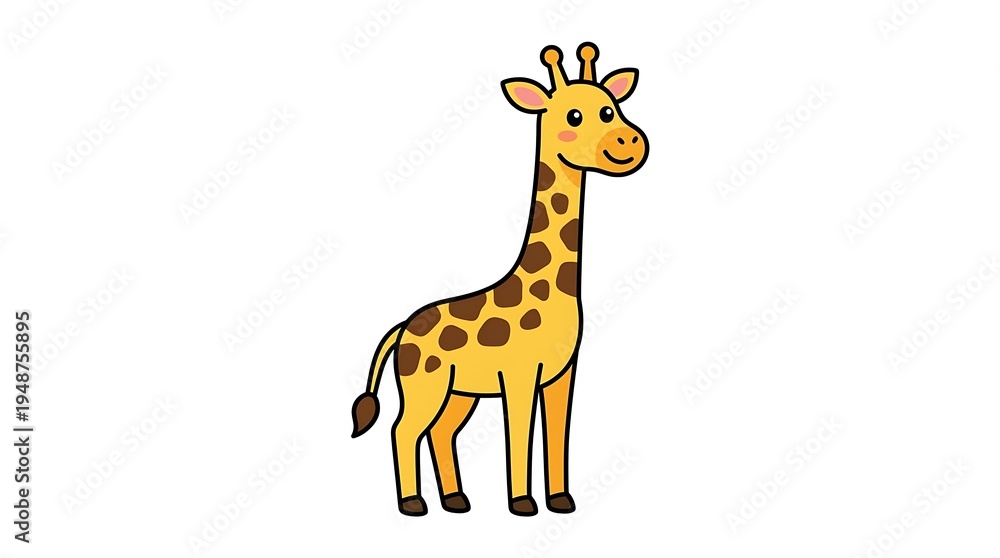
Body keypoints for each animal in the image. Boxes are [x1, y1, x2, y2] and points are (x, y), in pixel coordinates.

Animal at [351, 42, 648, 516]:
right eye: (574, 116)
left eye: (610, 108)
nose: (629, 142)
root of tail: (402, 330)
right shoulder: (519, 375)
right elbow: (519, 435)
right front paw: (523, 503)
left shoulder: (562, 373)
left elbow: (557, 433)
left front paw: (561, 499)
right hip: (425, 385)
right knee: (404, 429)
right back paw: (413, 503)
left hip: (459, 393)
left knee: (440, 431)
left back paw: (455, 500)